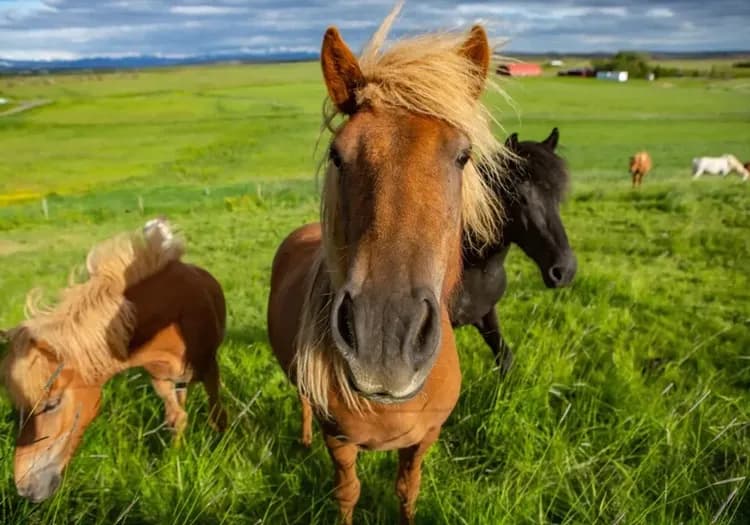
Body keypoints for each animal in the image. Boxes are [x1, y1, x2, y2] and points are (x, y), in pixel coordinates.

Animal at [0, 218, 227, 503]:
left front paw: (222, 448)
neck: (173, 318)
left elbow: (217, 416)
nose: (25, 488)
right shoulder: (160, 379)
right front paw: (175, 458)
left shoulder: (210, 369)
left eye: (52, 404)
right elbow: (176, 419)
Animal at [267, 5, 507, 524]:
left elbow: (407, 490)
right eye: (338, 154)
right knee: (301, 401)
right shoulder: (339, 441)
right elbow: (348, 493)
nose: (385, 339)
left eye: (463, 156)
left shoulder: (424, 439)